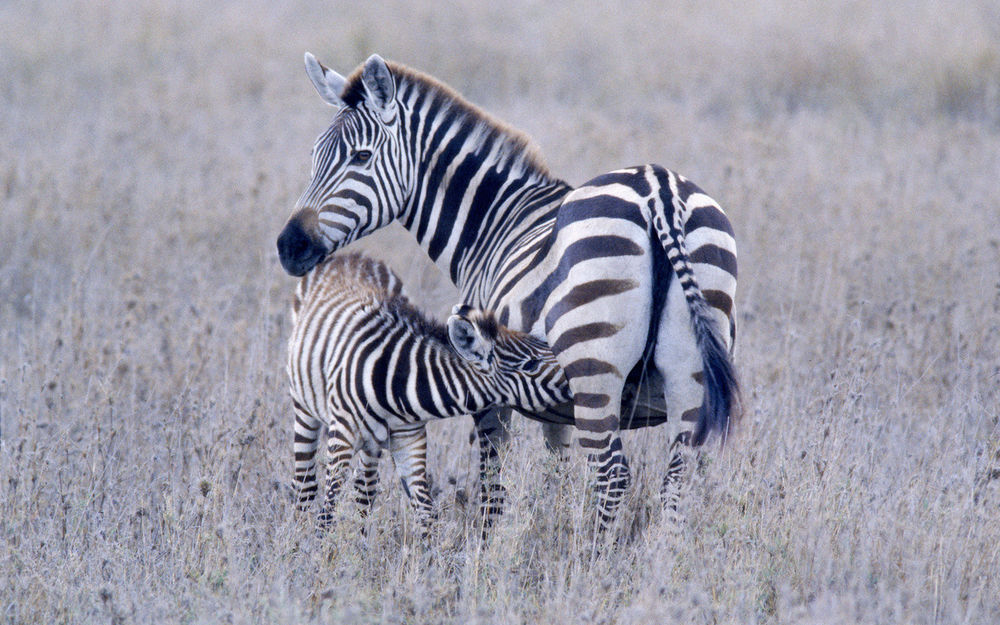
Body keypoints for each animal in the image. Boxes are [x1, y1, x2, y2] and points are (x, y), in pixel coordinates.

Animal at [290, 251, 572, 528]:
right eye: (530, 364)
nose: (576, 373)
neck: (398, 387)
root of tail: (350, 256)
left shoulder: (410, 441)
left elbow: (426, 513)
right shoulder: (343, 437)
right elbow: (328, 511)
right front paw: (321, 544)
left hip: (371, 445)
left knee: (365, 488)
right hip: (304, 408)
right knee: (305, 482)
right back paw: (299, 532)